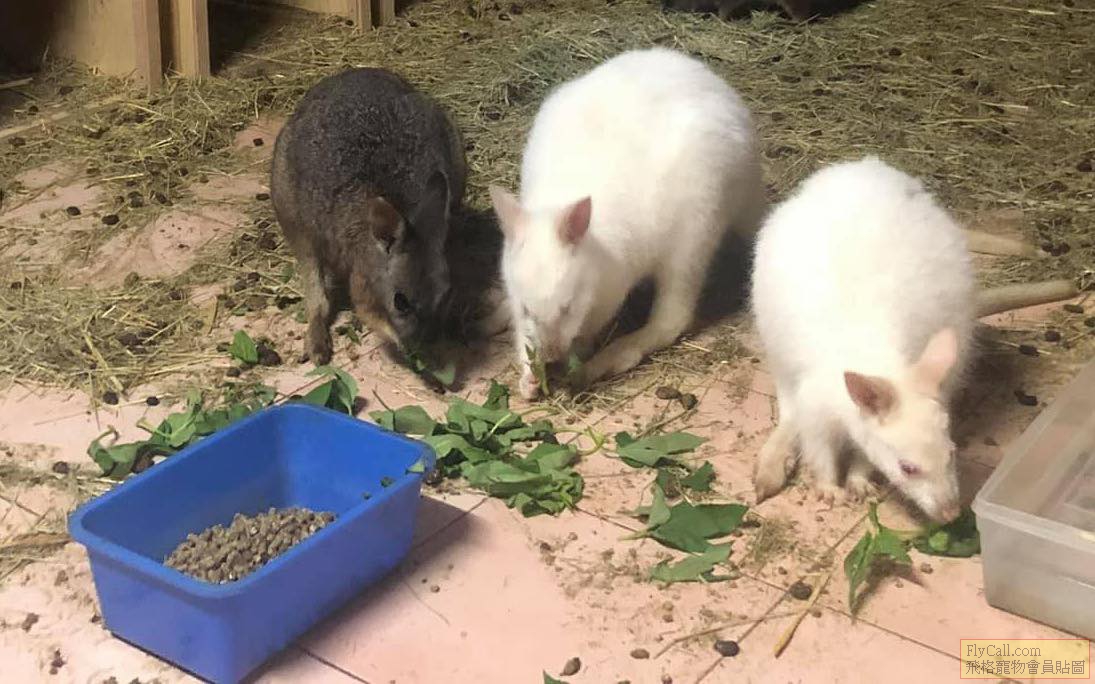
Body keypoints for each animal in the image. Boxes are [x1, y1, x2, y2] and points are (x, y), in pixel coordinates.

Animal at [271, 67, 466, 364]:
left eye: (447, 293)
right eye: (400, 302)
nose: (423, 349)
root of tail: (352, 72)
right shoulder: (361, 283)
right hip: (289, 207)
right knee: (315, 289)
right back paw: (317, 345)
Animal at [489, 47, 765, 400]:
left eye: (567, 308)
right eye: (527, 309)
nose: (551, 358)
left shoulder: (608, 293)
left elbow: (589, 331)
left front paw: (574, 362)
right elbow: (523, 334)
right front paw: (529, 379)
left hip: (696, 229)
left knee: (673, 319)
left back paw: (607, 360)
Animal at [750, 156, 975, 524]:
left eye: (952, 453)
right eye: (908, 468)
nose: (952, 514)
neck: (879, 358)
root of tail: (862, 166)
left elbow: (866, 456)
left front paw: (859, 483)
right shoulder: (816, 409)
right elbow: (820, 450)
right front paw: (829, 489)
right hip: (774, 343)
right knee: (789, 412)